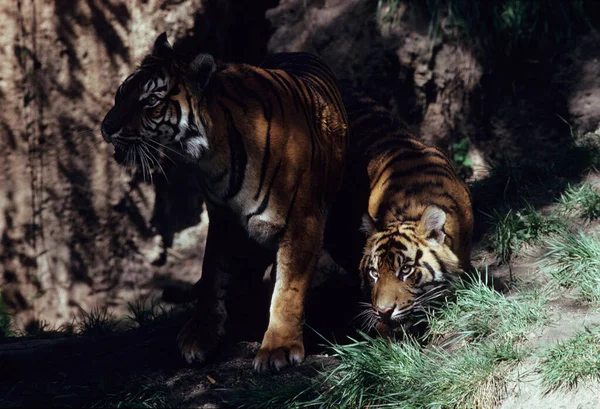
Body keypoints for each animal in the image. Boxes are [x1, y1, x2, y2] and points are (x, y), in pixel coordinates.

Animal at [101, 33, 350, 372]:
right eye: (121, 92)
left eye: (150, 101)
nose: (106, 127)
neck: (213, 155)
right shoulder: (222, 217)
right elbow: (212, 274)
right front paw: (200, 336)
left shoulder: (303, 222)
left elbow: (288, 288)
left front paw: (279, 347)